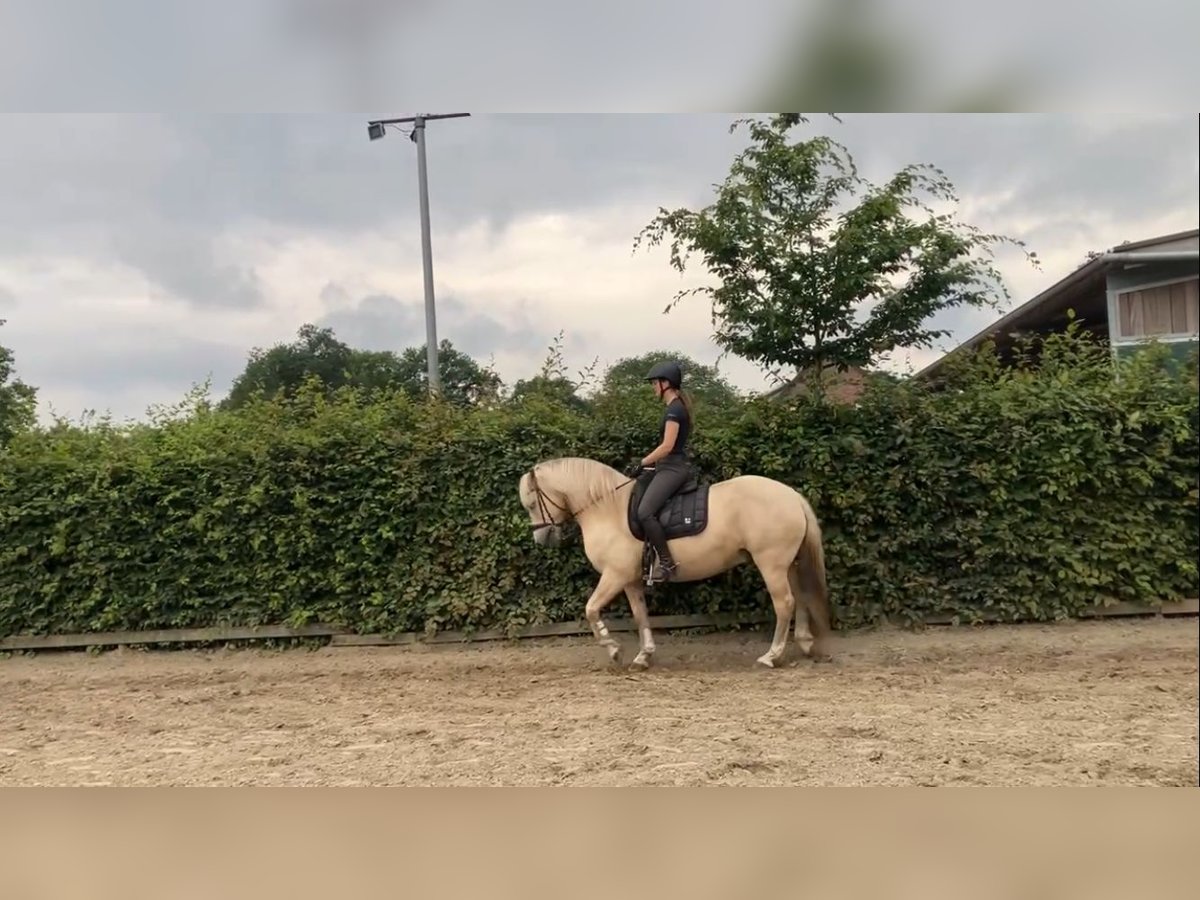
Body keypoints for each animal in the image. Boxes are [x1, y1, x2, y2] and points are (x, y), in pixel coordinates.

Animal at [517, 456, 832, 669]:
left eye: (532, 503)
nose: (541, 539)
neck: (608, 509)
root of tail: (791, 495)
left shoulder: (614, 576)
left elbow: (591, 609)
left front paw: (614, 649)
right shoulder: (630, 580)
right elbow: (640, 615)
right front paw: (643, 656)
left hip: (772, 565)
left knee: (785, 603)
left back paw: (771, 656)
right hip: (788, 565)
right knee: (800, 598)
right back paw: (805, 643)